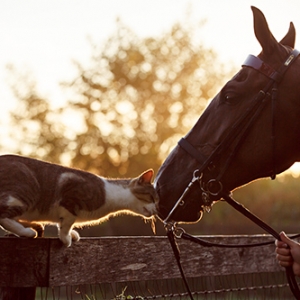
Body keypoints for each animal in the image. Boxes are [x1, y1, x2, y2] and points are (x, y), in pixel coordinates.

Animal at [0, 155, 159, 246]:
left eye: (157, 201)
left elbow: (63, 223)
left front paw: (71, 234)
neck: (111, 194)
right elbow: (67, 223)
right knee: (3, 216)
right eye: (152, 198)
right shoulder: (69, 193)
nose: (156, 210)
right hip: (25, 193)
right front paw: (66, 239)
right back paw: (27, 232)